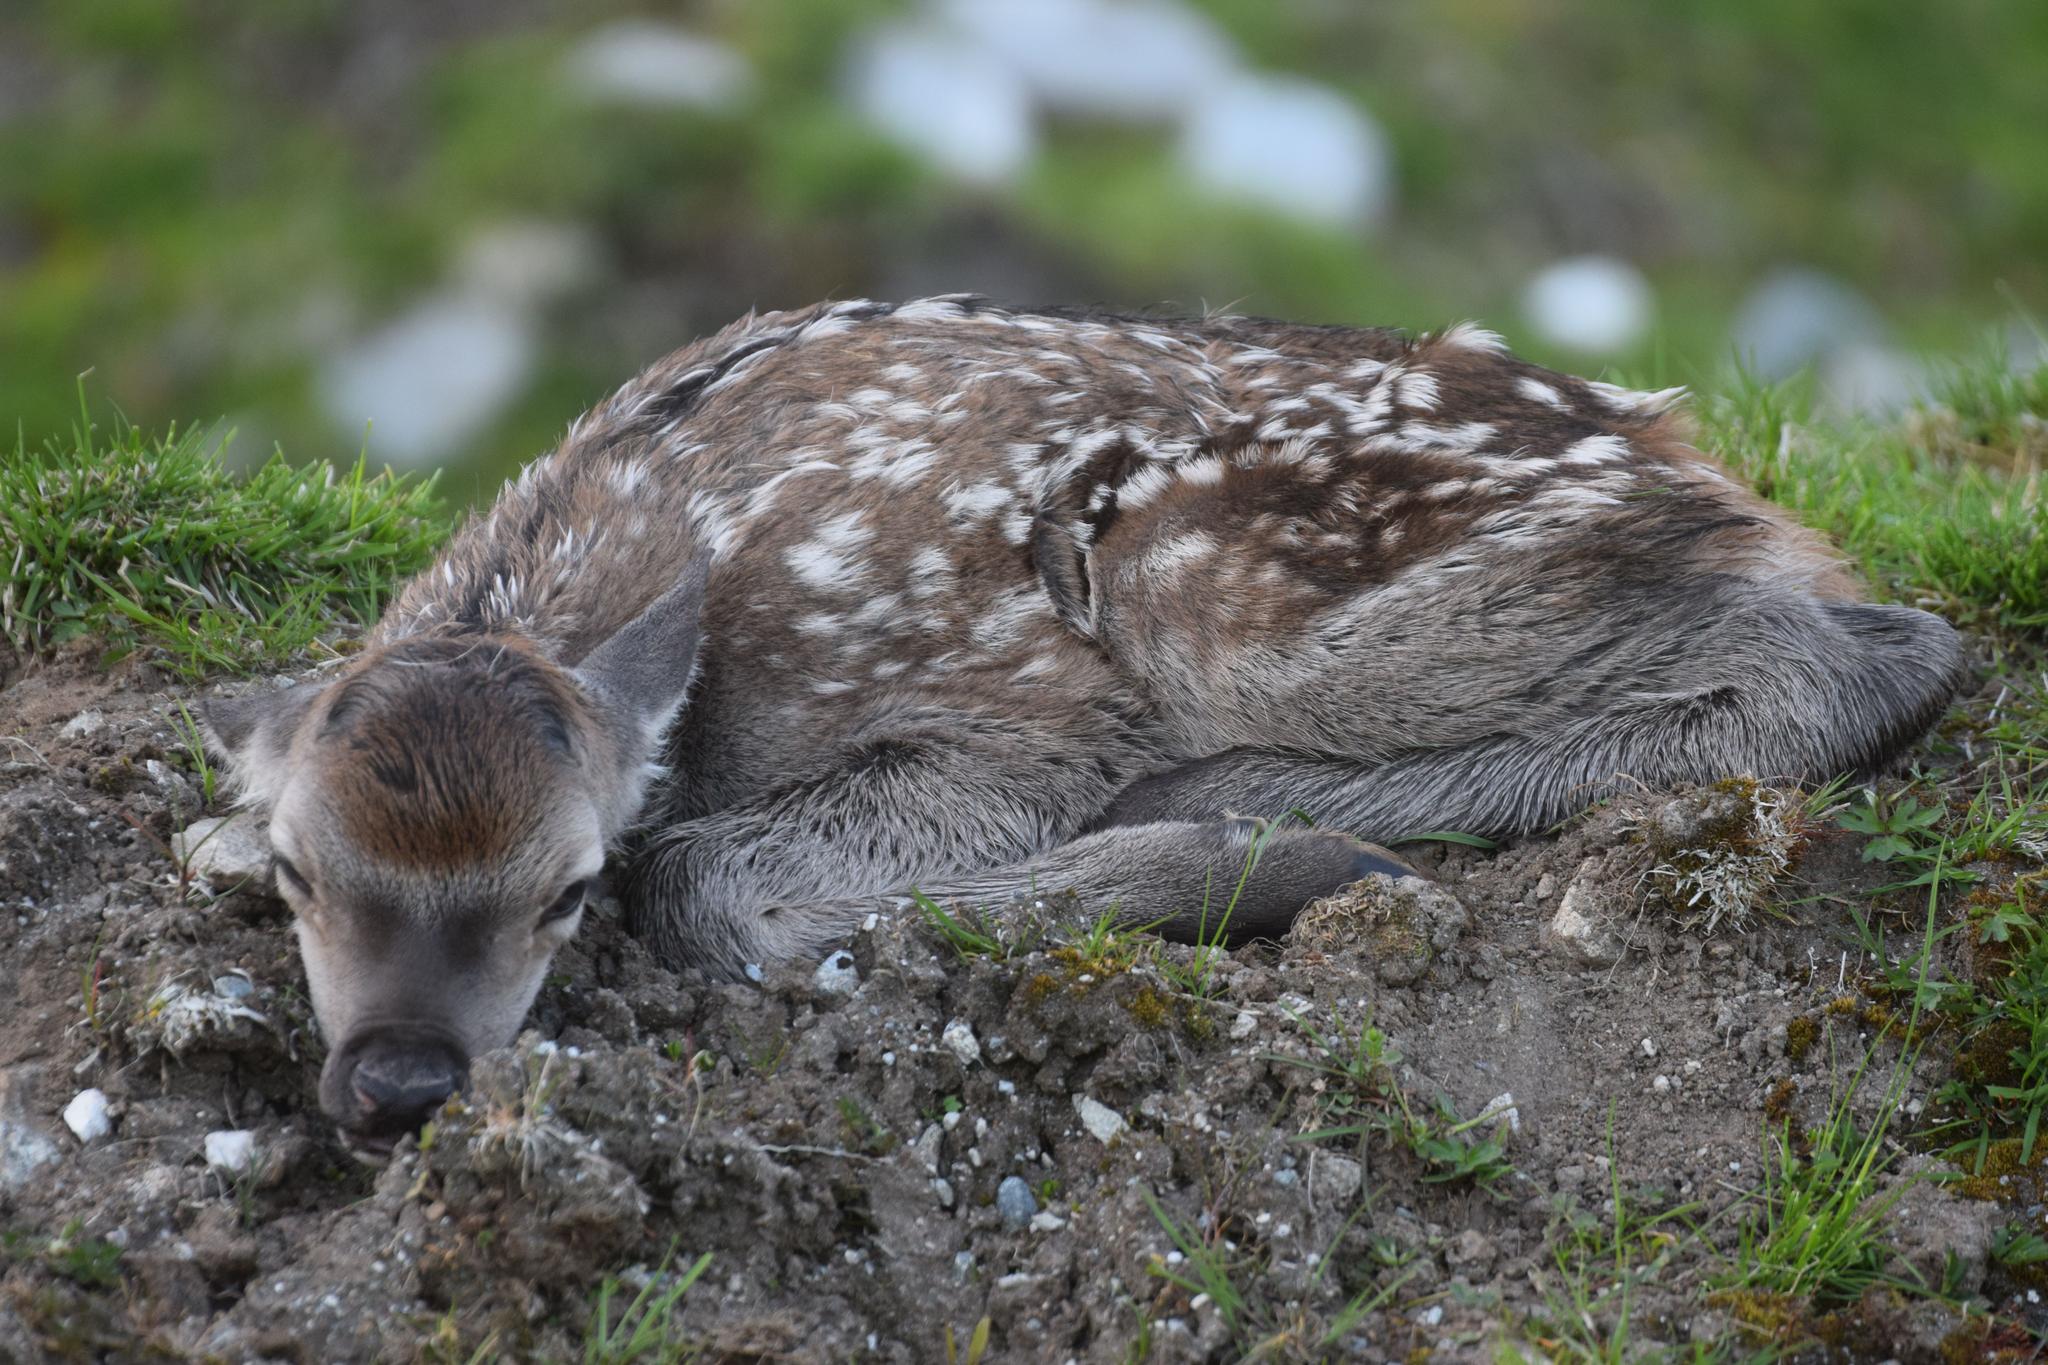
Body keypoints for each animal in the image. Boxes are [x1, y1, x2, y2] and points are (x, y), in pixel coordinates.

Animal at [201, 296, 1965, 1148]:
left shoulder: (1013, 714)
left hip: (1215, 582)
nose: (399, 1079)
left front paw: (1249, 861)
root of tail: (1688, 455)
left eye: (562, 889)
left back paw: (1278, 813)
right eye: (297, 874)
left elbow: (700, 876)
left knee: (1876, 650)